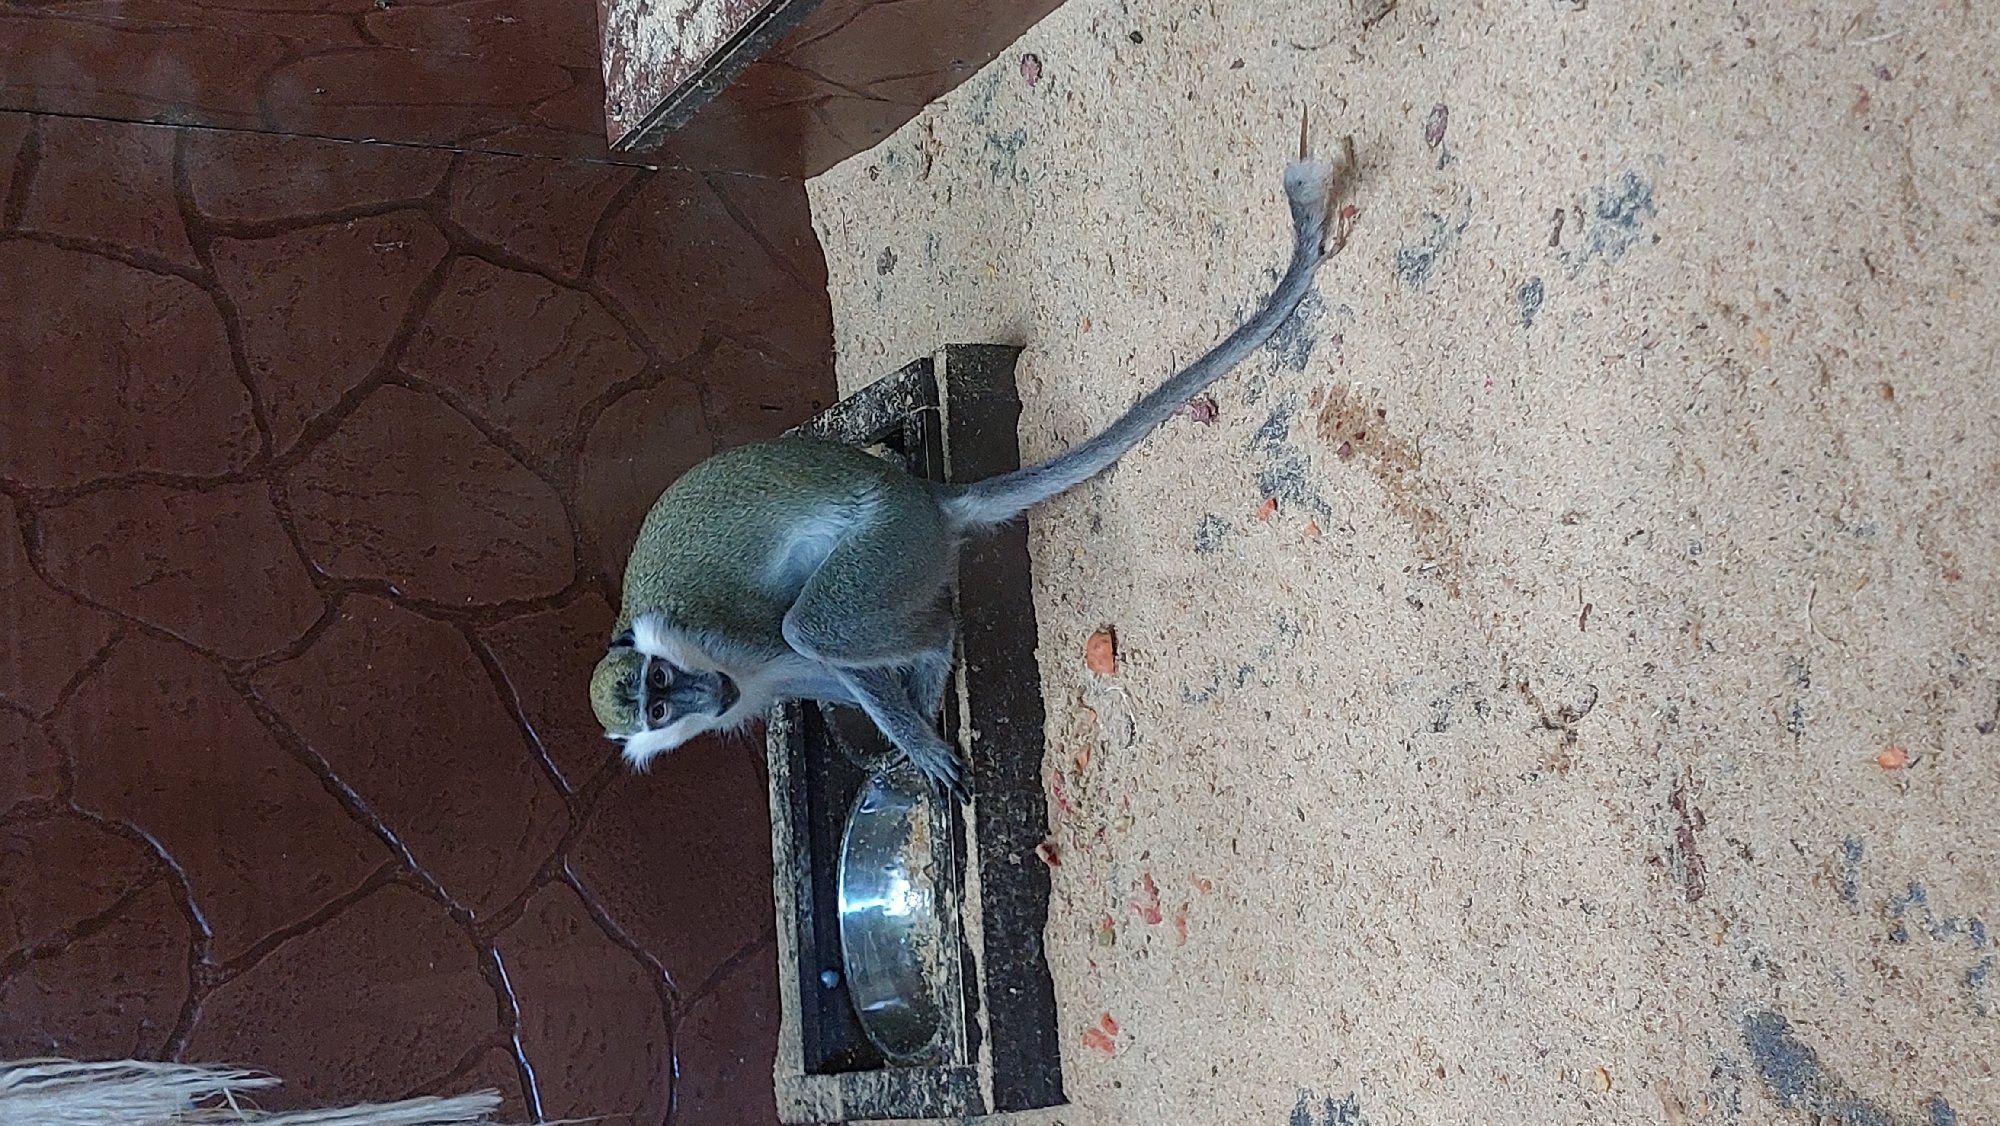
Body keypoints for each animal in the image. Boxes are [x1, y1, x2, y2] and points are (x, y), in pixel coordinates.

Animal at [590, 144, 1355, 797]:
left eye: (661, 683)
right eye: (656, 710)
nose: (705, 695)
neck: (705, 660)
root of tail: (922, 497)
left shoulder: (732, 635)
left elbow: (801, 644)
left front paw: (915, 729)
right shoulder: (749, 684)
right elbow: (820, 677)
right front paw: (905, 735)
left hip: (890, 542)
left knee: (819, 628)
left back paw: (934, 645)